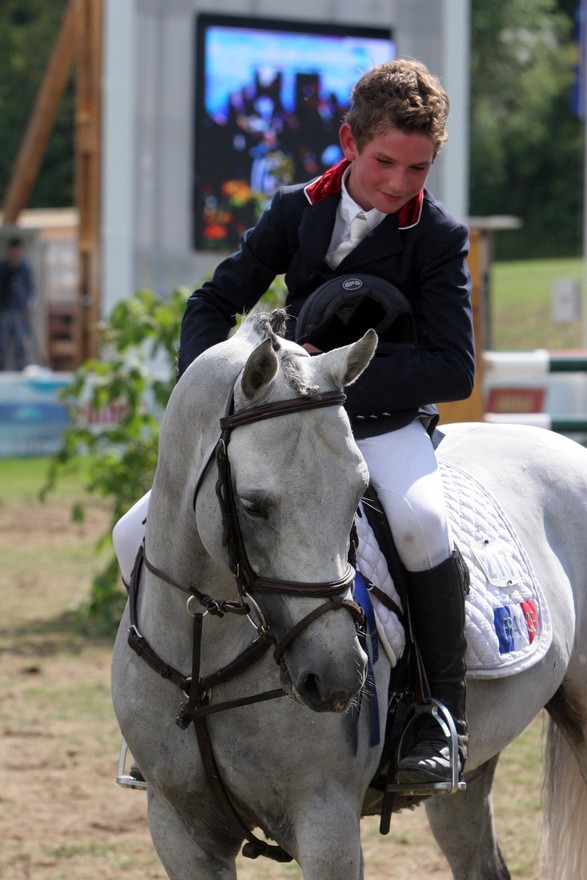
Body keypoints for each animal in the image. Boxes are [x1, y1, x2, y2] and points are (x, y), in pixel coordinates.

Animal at [111, 312, 587, 880]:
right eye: (252, 506)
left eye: (359, 493)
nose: (338, 676)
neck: (203, 661)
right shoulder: (179, 831)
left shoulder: (327, 823)